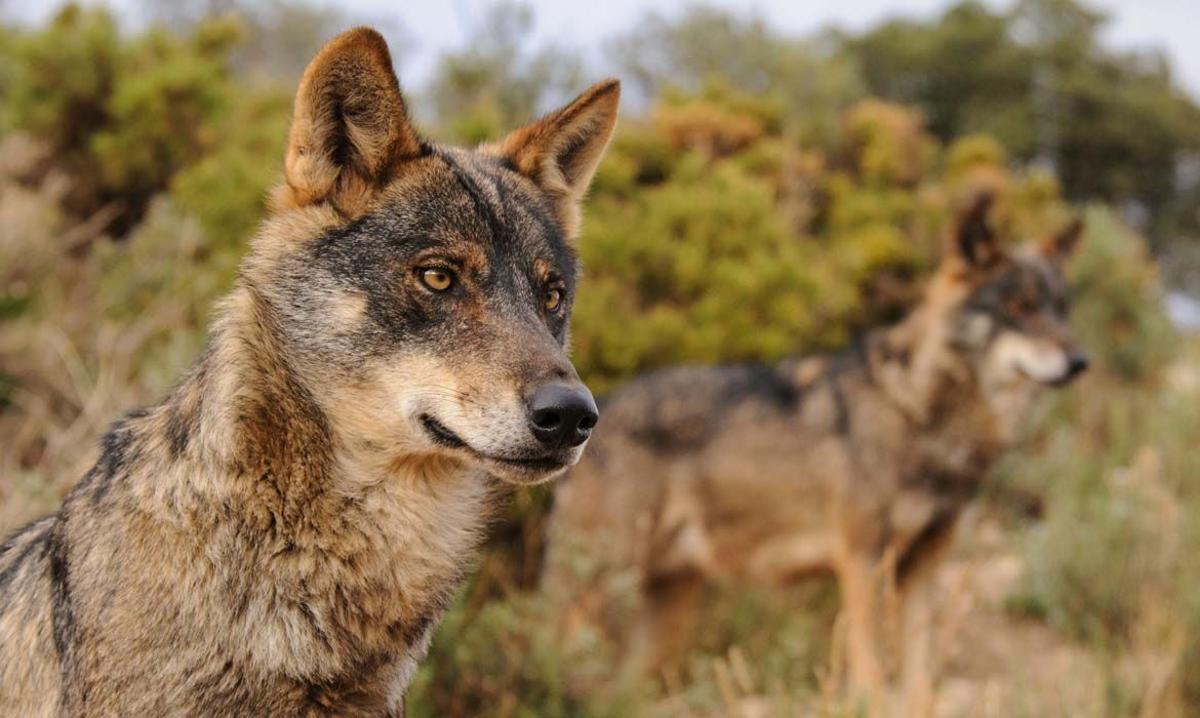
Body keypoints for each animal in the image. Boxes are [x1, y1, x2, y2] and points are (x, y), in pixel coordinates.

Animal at [544, 195, 1089, 715]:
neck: (917, 410)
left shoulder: (923, 569)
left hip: (664, 606)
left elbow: (920, 684)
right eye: (1018, 307)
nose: (1080, 361)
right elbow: (872, 676)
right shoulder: (863, 562)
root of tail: (597, 411)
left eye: (1061, 309)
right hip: (598, 591)